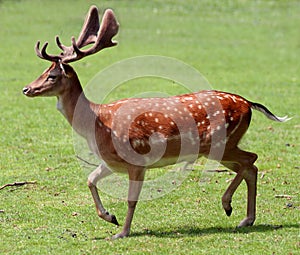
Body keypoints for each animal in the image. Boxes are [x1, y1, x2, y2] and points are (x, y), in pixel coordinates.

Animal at [22, 5, 290, 239]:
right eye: (41, 72)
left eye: (52, 75)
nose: (27, 89)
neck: (97, 123)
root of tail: (248, 103)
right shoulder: (110, 161)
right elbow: (90, 179)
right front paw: (110, 217)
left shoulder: (136, 161)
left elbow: (131, 199)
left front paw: (122, 232)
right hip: (220, 149)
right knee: (250, 166)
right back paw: (245, 218)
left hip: (223, 142)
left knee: (251, 159)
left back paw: (229, 206)